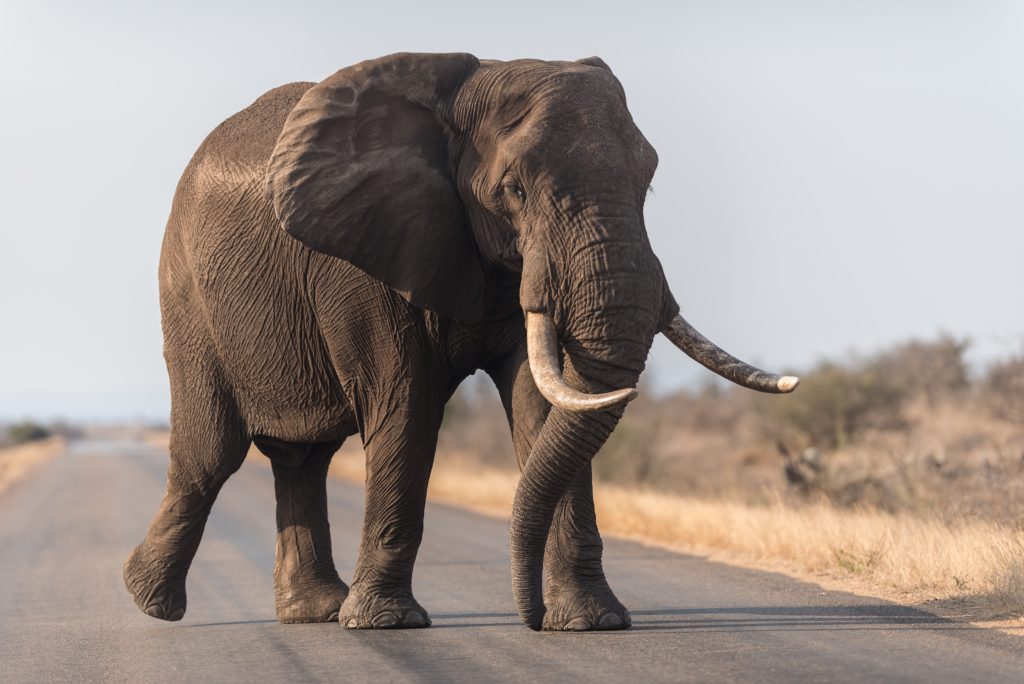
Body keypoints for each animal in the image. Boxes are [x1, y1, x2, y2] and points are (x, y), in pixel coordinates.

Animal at [123, 50, 794, 634]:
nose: (530, 617)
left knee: (302, 458)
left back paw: (313, 612)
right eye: (515, 190)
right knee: (211, 454)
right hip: (187, 298)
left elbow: (545, 405)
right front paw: (387, 624)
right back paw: (150, 601)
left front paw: (592, 623)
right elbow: (407, 408)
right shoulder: (362, 258)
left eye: (648, 182)